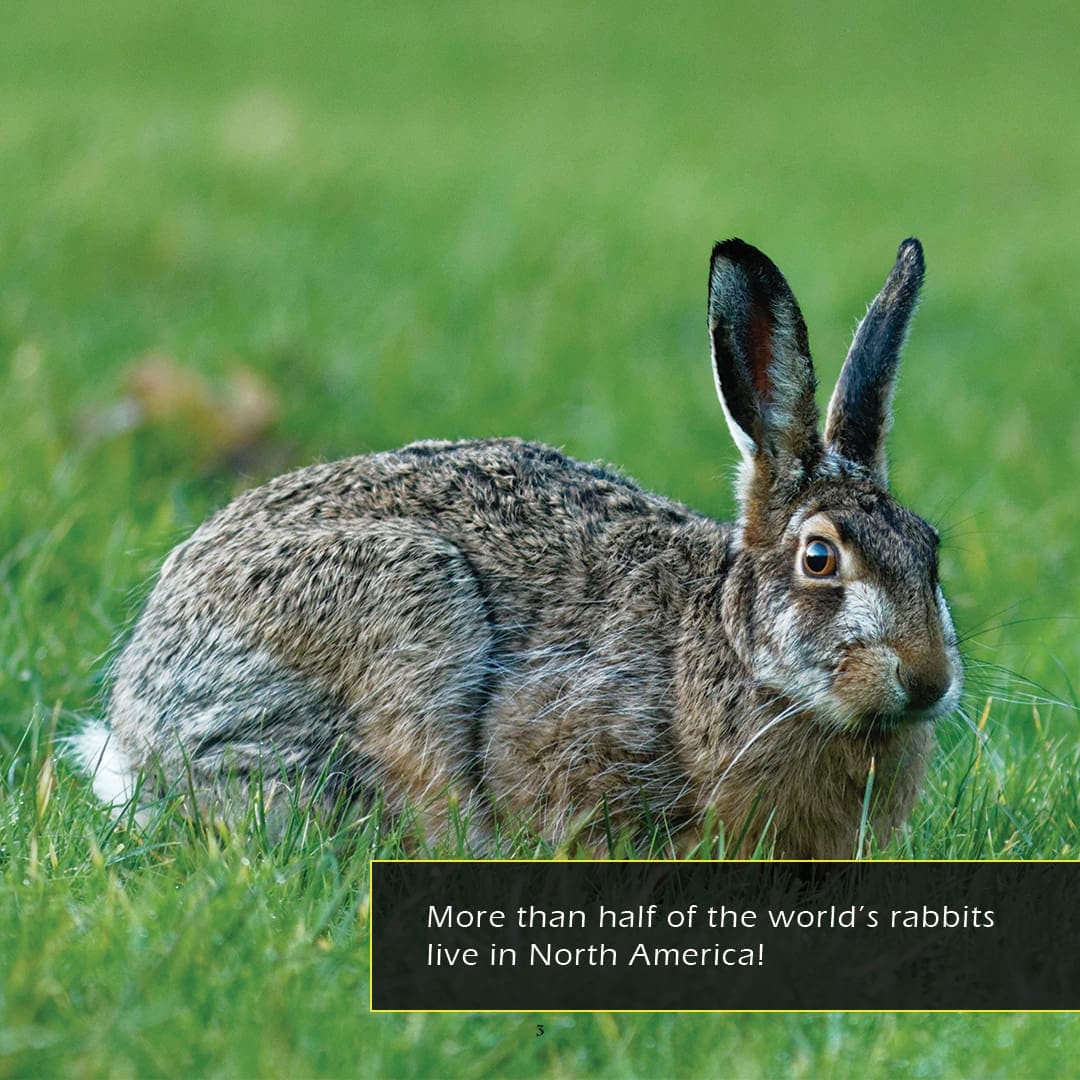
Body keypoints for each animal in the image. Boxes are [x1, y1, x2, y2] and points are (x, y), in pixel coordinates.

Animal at [73, 237, 962, 858]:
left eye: (931, 551)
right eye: (820, 558)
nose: (927, 680)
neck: (737, 658)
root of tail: (135, 730)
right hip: (399, 603)